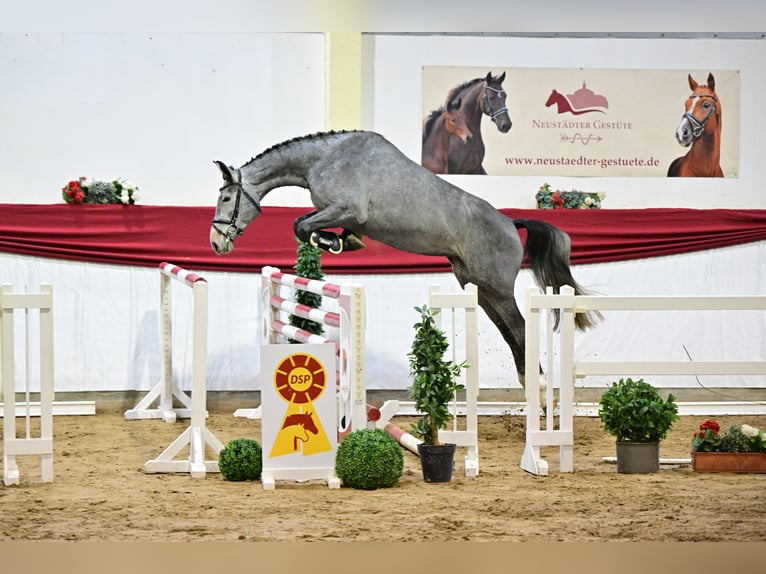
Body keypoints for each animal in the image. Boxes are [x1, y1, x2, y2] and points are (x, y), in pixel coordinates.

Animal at [210, 130, 600, 390]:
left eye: (227, 198)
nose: (216, 243)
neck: (326, 158)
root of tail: (510, 222)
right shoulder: (344, 214)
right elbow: (308, 224)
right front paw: (341, 242)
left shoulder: (347, 208)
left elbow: (301, 225)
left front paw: (328, 242)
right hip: (476, 285)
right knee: (508, 332)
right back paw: (527, 382)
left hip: (497, 288)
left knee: (518, 328)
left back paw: (540, 391)